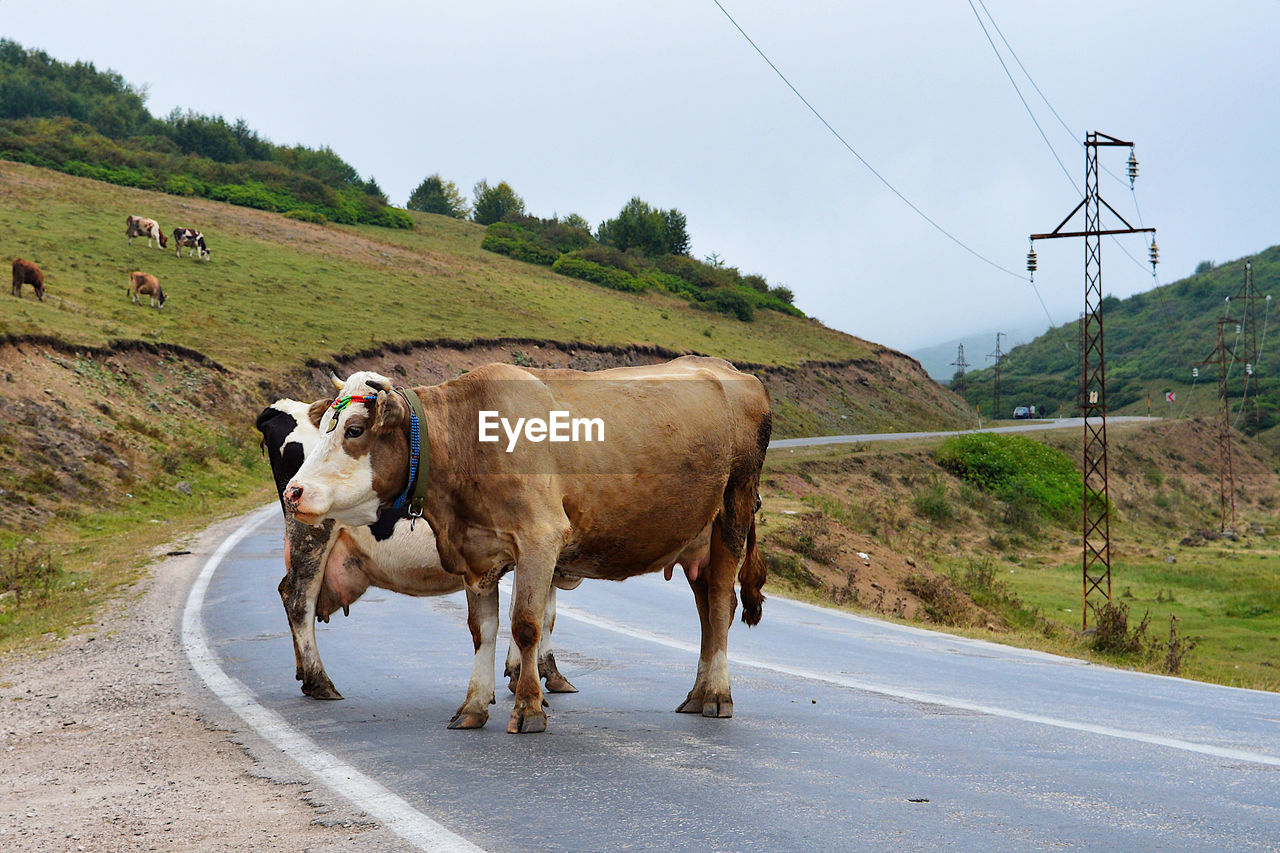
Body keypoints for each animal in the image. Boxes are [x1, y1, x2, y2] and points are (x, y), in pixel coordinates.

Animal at [254, 391, 576, 717]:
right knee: (298, 598)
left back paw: (304, 676)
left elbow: (542, 614)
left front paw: (538, 672)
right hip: (312, 532)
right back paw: (319, 680)